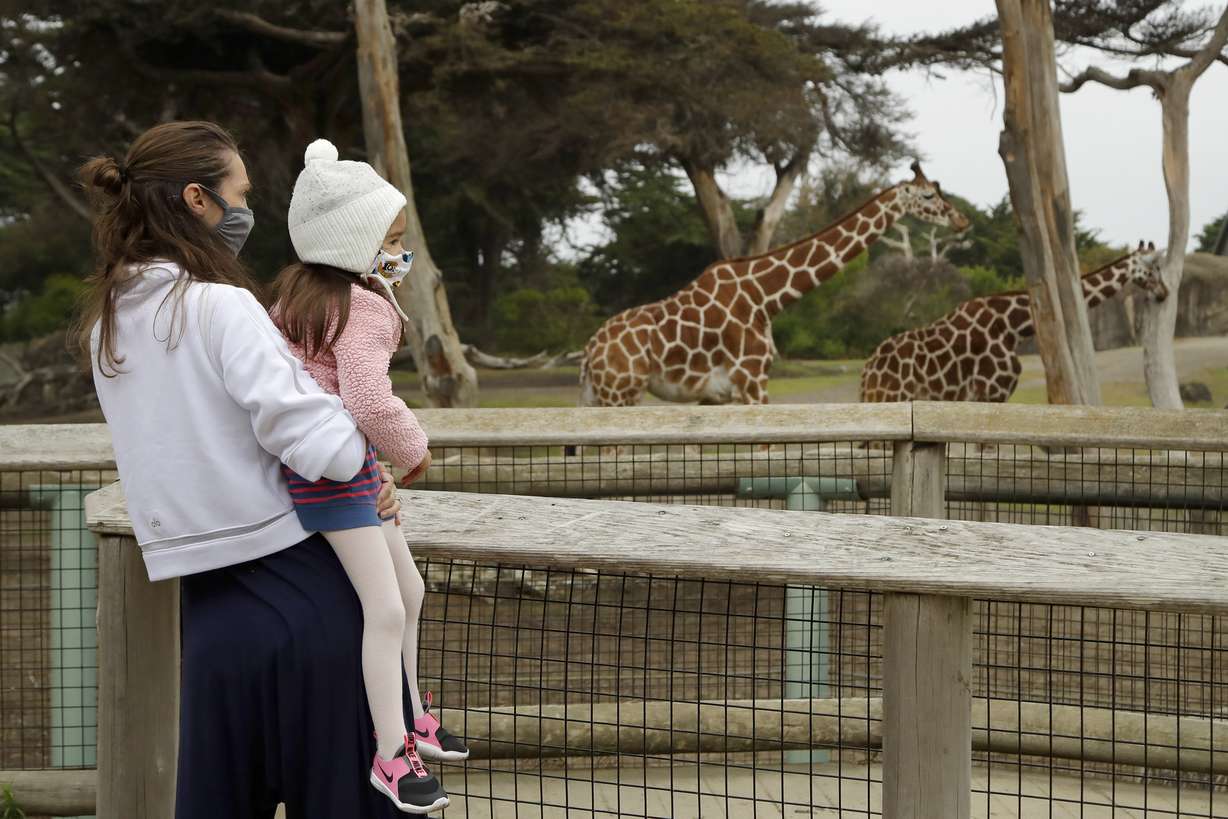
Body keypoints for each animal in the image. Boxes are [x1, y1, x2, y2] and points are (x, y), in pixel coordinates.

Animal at [579, 163, 971, 407]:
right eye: (928, 196)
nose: (962, 219)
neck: (764, 297)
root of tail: (589, 352)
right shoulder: (751, 381)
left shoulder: (720, 393)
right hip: (621, 393)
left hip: (599, 397)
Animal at [859, 242, 1168, 404]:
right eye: (1154, 268)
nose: (1164, 292)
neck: (1013, 325)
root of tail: (868, 370)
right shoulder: (991, 394)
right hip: (891, 397)